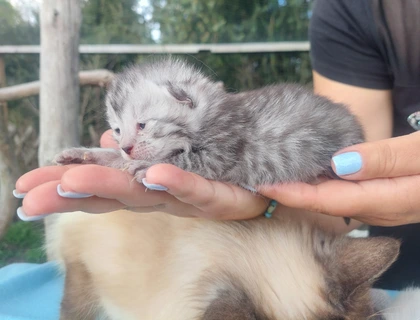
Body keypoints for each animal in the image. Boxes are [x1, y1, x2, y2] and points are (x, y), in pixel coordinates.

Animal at [55, 58, 364, 186]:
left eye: (142, 124)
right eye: (118, 130)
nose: (127, 148)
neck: (209, 114)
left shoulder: (221, 150)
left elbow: (182, 160)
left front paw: (147, 166)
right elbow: (112, 157)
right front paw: (82, 154)